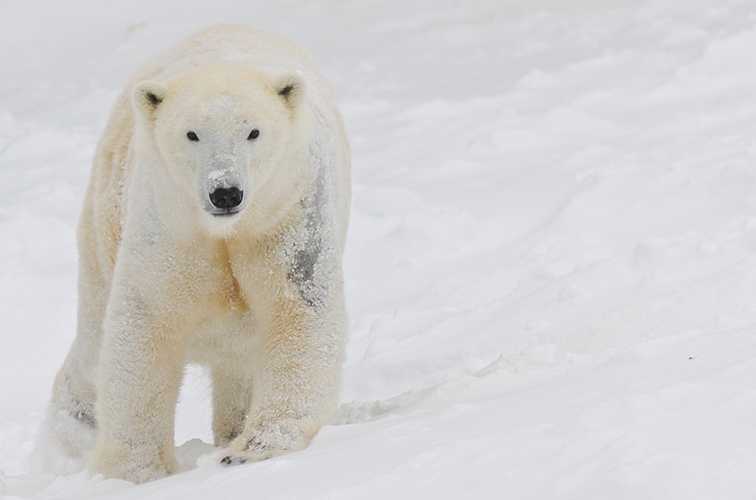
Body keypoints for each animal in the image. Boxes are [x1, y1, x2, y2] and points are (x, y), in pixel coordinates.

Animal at [39, 25, 350, 482]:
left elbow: (298, 308)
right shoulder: (170, 223)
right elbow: (147, 321)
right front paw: (136, 472)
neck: (226, 231)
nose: (225, 192)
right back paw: (73, 434)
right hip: (102, 225)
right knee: (93, 345)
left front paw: (248, 451)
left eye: (253, 132)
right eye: (192, 134)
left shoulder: (291, 212)